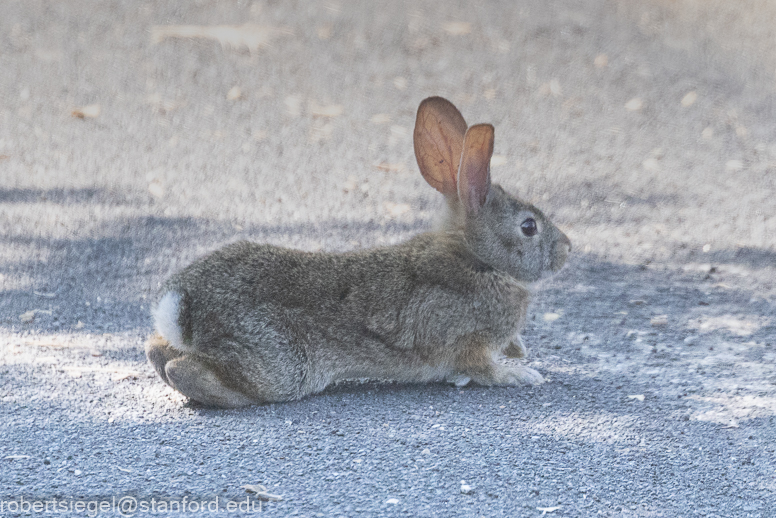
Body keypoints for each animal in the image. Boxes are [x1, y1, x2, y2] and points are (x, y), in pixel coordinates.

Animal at [146, 95, 568, 408]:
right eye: (529, 227)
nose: (566, 249)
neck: (477, 261)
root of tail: (181, 303)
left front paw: (519, 352)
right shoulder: (468, 343)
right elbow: (483, 369)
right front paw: (521, 375)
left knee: (156, 350)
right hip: (280, 364)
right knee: (186, 370)